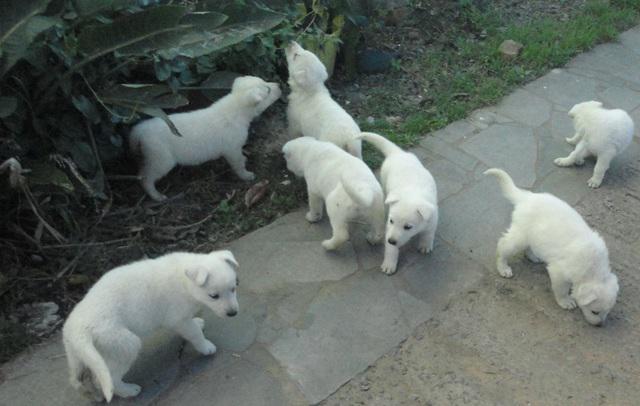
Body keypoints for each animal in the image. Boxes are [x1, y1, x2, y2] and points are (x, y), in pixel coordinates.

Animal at [63, 249, 240, 402]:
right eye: (214, 296)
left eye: (234, 288)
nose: (233, 313)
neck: (184, 279)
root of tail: (80, 331)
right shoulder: (178, 319)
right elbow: (195, 333)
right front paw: (206, 346)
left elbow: (193, 325)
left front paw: (198, 321)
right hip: (125, 345)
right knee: (110, 378)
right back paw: (129, 391)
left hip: (77, 355)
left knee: (78, 379)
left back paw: (92, 395)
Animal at [129, 75, 280, 201]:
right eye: (267, 90)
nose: (279, 85)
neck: (236, 107)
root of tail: (140, 129)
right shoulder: (232, 149)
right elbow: (238, 164)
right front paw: (246, 175)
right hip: (161, 159)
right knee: (145, 178)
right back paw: (157, 196)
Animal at [360, 133, 440, 276]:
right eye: (391, 221)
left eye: (408, 227)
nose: (391, 241)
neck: (413, 194)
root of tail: (397, 153)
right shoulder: (389, 230)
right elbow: (391, 250)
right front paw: (389, 264)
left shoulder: (432, 219)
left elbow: (428, 234)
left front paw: (425, 245)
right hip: (384, 182)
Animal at [484, 169, 620, 326]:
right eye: (595, 312)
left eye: (607, 312)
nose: (599, 325)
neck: (593, 269)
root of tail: (527, 197)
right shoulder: (559, 272)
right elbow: (561, 290)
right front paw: (566, 302)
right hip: (520, 236)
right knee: (503, 245)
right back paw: (503, 268)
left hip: (534, 235)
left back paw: (533, 257)